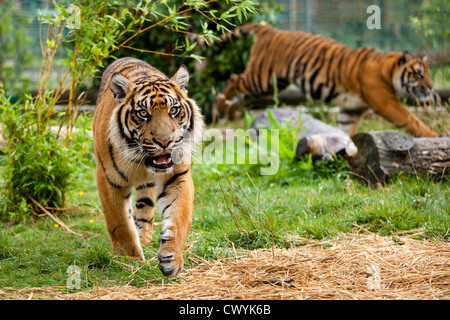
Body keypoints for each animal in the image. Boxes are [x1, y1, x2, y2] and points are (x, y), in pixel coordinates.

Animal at [93, 57, 204, 278]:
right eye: (143, 113)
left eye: (173, 110)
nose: (165, 142)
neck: (142, 161)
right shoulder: (108, 180)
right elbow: (120, 223)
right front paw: (129, 261)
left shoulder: (177, 176)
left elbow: (180, 218)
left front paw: (172, 259)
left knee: (145, 210)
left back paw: (144, 238)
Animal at [200, 22, 440, 138]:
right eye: (419, 74)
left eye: (428, 73)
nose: (431, 88)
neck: (387, 71)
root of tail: (268, 28)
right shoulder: (386, 102)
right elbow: (411, 120)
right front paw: (434, 136)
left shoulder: (351, 110)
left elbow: (346, 130)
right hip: (261, 78)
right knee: (233, 79)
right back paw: (220, 106)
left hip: (271, 85)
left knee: (242, 97)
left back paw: (231, 112)